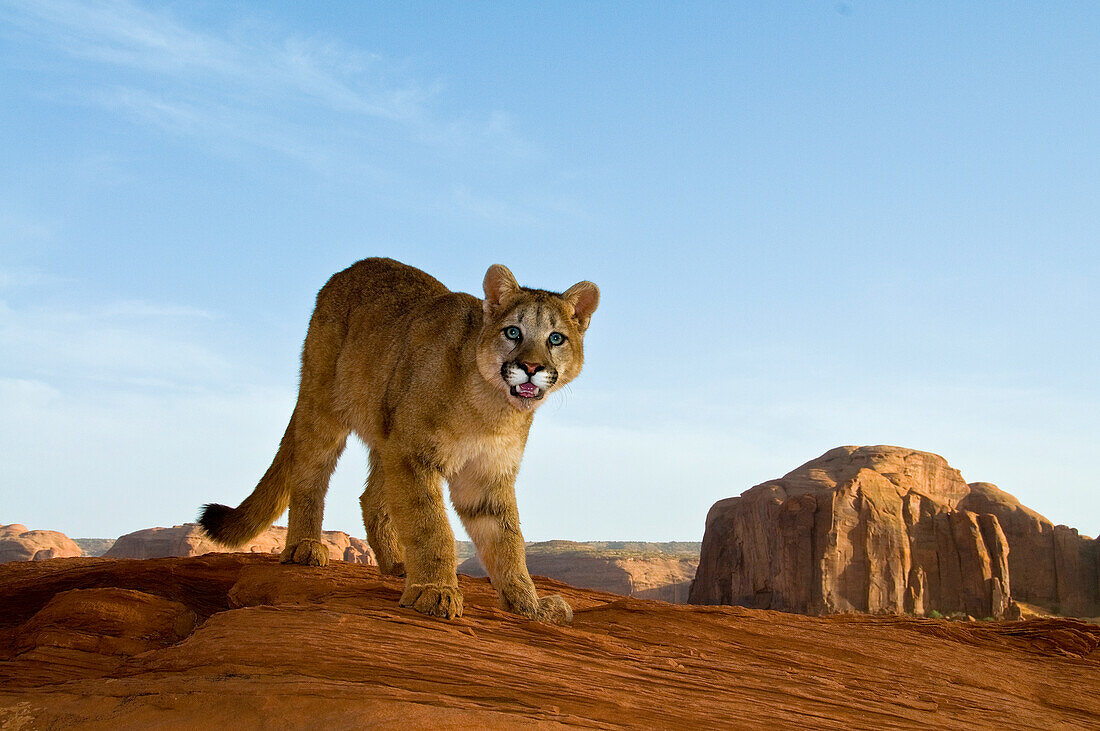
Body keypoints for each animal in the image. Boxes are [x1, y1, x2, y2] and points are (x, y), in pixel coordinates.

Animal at [193, 256, 598, 619]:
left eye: (556, 339)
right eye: (513, 331)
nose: (531, 367)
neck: (491, 410)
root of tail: (348, 270)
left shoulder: (484, 477)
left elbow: (507, 539)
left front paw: (529, 604)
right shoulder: (413, 454)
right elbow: (430, 525)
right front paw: (436, 591)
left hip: (385, 429)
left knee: (371, 498)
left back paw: (397, 563)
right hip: (324, 405)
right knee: (310, 475)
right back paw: (305, 547)